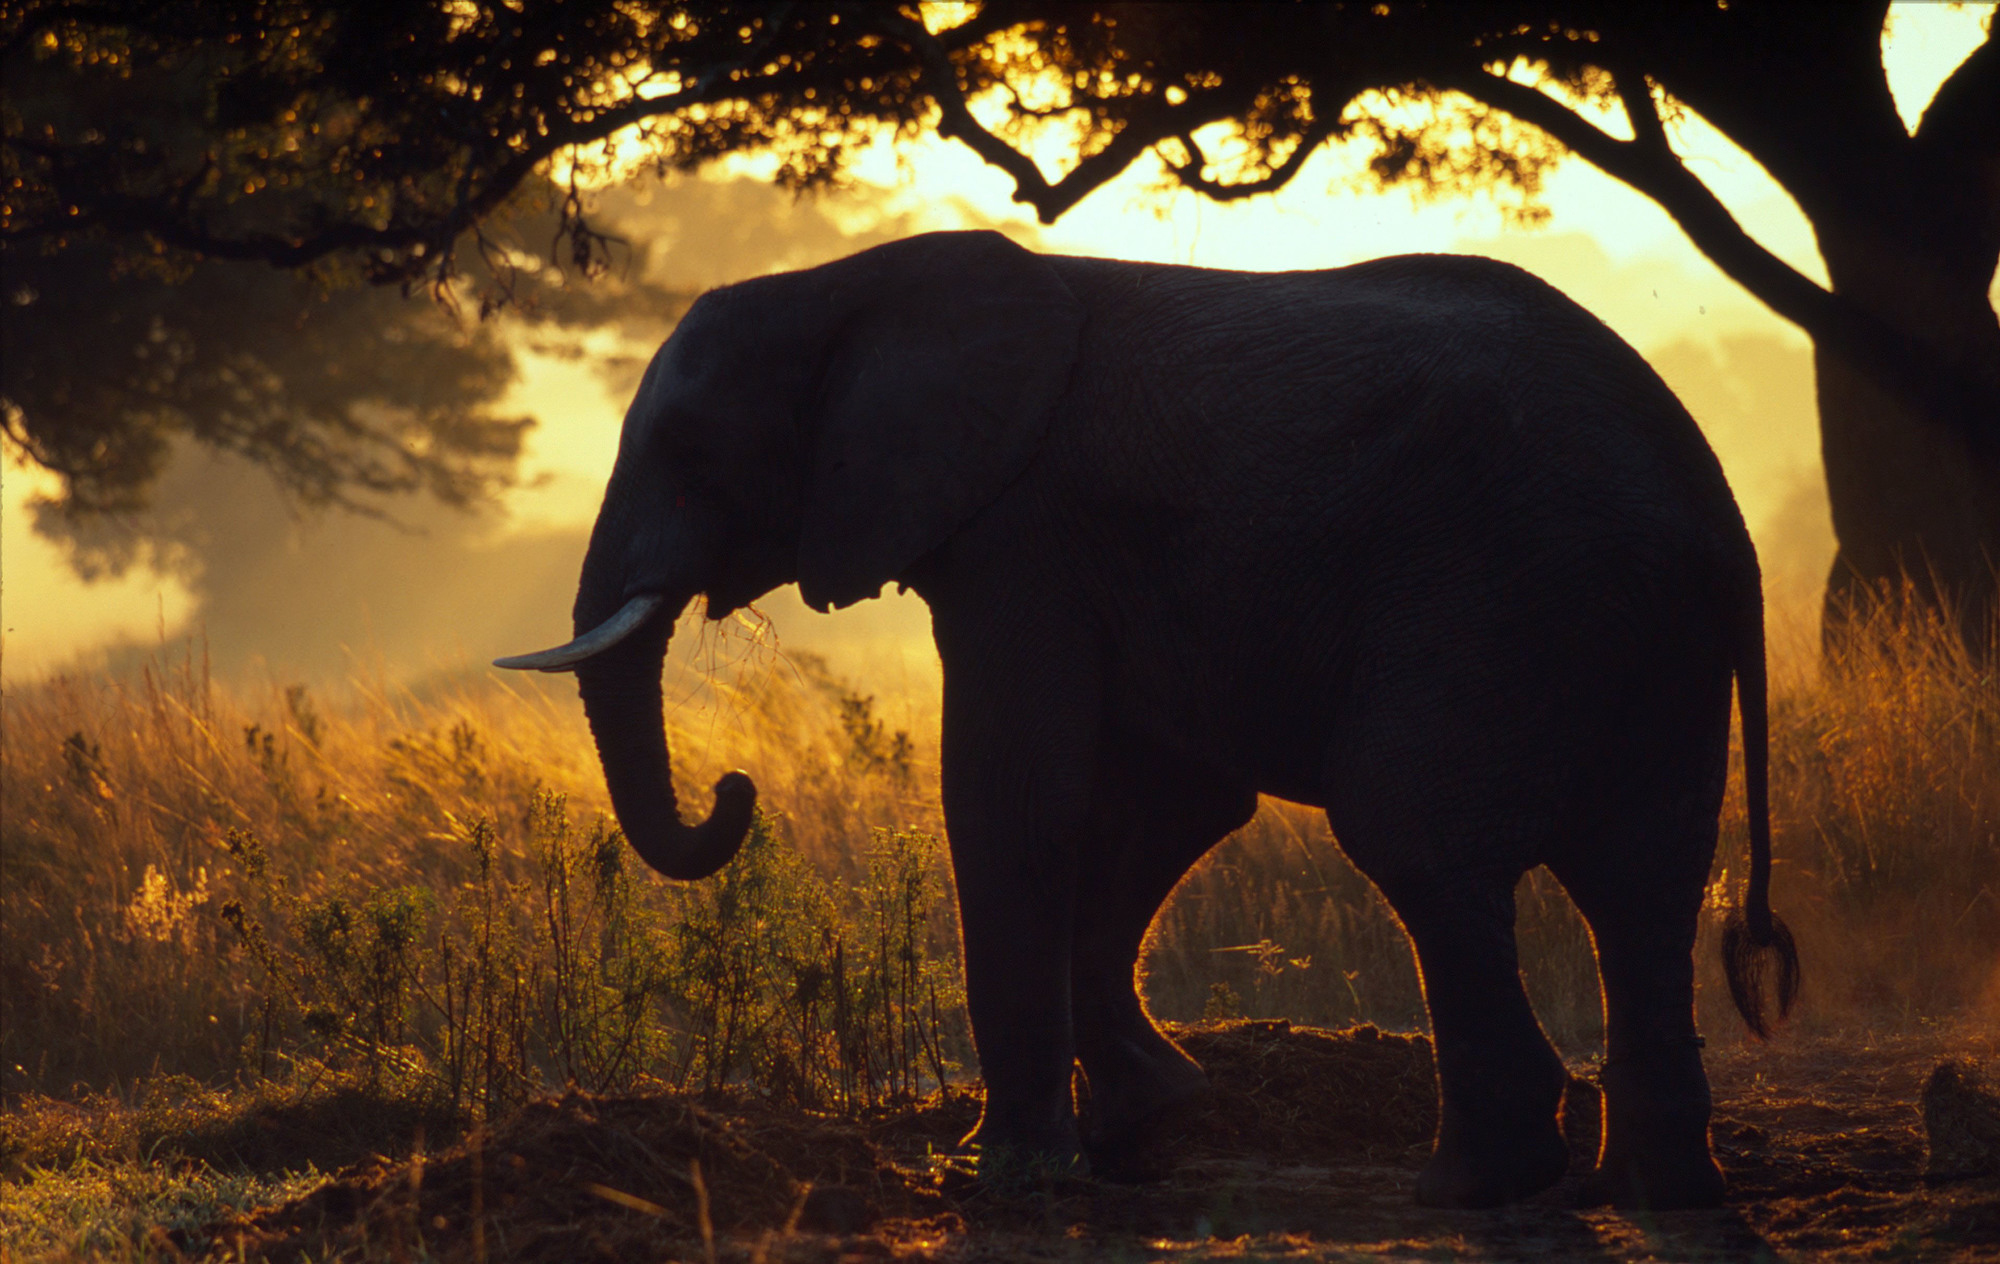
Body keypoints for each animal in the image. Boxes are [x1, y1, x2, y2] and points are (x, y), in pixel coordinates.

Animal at [496, 232, 1800, 1208]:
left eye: (686, 449)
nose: (734, 789)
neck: (842, 283)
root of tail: (1719, 512)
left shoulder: (1026, 527)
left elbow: (1013, 796)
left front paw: (1003, 1176)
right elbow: (1174, 800)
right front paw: (1150, 1124)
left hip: (1496, 600)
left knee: (1419, 838)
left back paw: (1477, 1187)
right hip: (1639, 633)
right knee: (1643, 881)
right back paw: (1648, 1189)